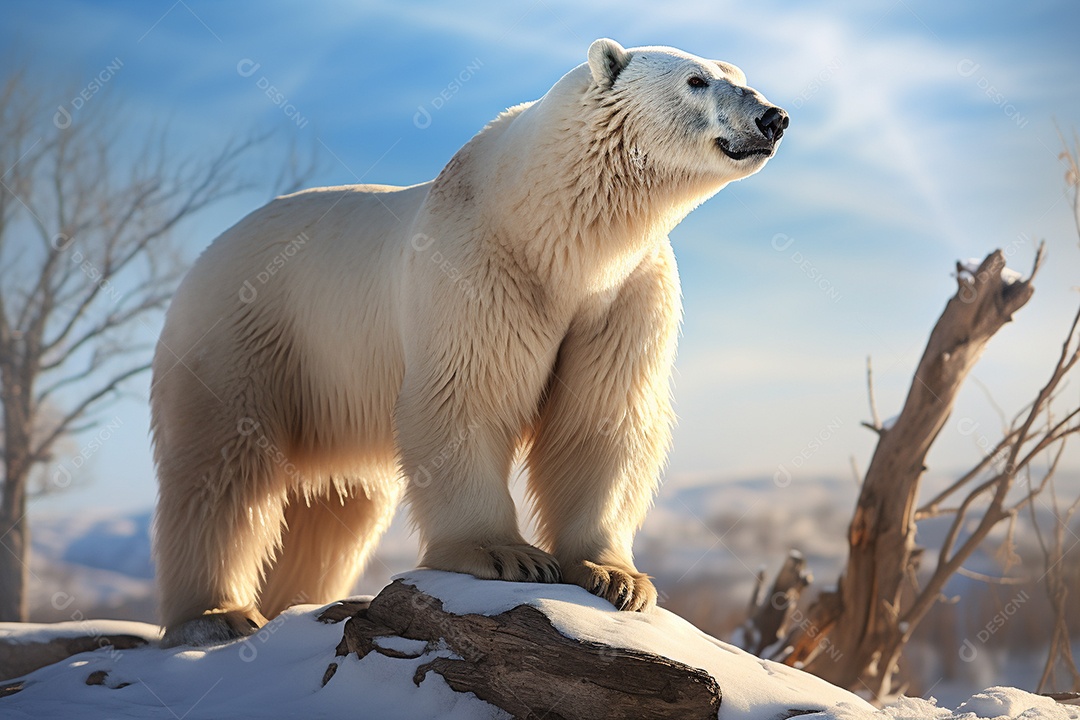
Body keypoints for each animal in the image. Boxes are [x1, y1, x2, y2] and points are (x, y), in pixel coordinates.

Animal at [151, 38, 788, 646]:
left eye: (738, 74)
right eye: (697, 80)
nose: (773, 116)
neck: (554, 234)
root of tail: (210, 251)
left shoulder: (624, 294)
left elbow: (602, 416)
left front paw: (616, 576)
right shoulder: (478, 266)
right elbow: (468, 393)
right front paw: (506, 555)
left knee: (338, 506)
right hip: (248, 332)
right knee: (222, 468)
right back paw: (218, 614)